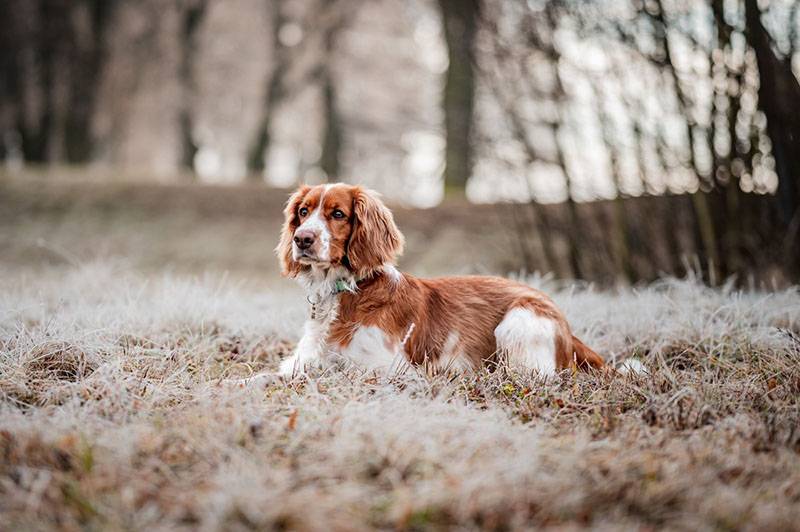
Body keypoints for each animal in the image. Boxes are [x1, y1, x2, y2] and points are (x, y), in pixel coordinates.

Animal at [245, 183, 608, 382]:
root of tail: (567, 326)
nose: (302, 240)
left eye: (338, 214)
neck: (345, 292)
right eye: (303, 212)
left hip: (519, 320)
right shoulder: (302, 364)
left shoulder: (386, 370)